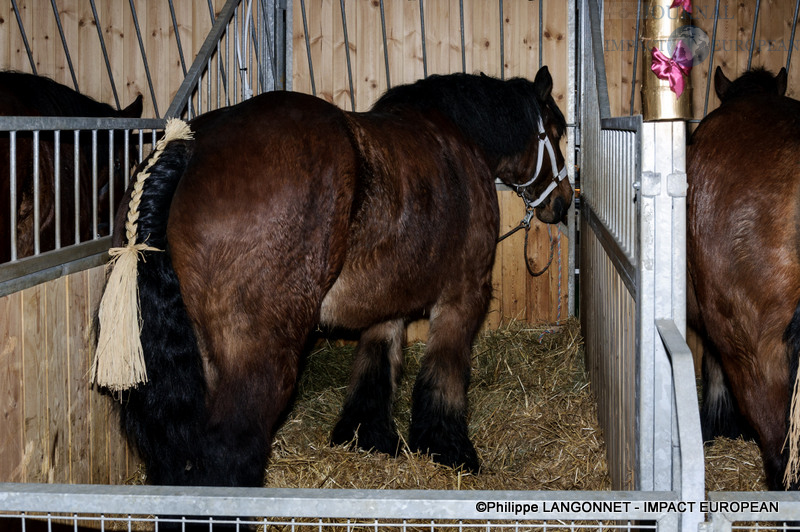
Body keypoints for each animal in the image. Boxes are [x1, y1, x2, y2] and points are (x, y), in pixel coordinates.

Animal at [106, 65, 572, 486]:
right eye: (555, 131)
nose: (564, 201)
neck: (457, 140)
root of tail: (189, 150)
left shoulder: (387, 301)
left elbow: (375, 368)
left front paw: (368, 438)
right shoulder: (463, 296)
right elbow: (445, 376)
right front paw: (449, 449)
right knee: (227, 454)